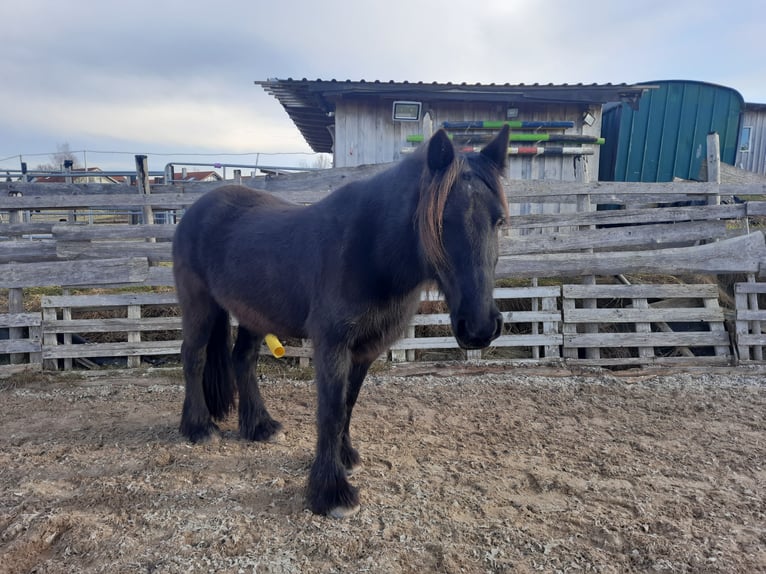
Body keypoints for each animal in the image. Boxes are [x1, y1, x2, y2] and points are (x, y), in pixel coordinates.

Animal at [172, 125, 510, 518]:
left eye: (498, 220)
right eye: (442, 221)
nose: (480, 326)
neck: (369, 251)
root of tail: (196, 210)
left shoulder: (364, 350)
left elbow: (348, 404)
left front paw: (346, 457)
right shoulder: (332, 345)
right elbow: (331, 411)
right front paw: (331, 491)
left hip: (253, 313)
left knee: (243, 360)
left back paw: (260, 426)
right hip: (200, 305)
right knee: (193, 357)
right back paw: (198, 428)